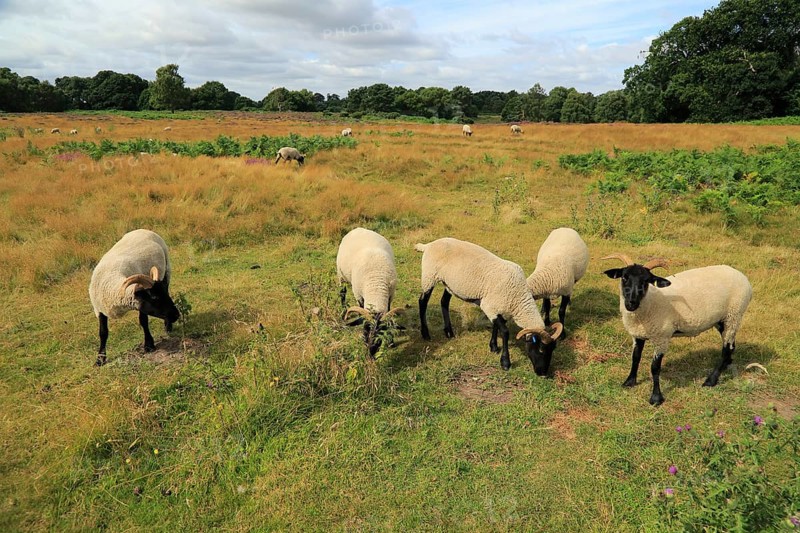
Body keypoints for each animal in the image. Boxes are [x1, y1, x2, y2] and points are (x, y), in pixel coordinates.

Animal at [89, 229, 180, 366]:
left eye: (163, 294)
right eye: (153, 296)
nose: (176, 315)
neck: (110, 281)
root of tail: (143, 229)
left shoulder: (140, 305)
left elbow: (143, 322)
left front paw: (149, 345)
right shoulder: (99, 310)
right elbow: (103, 333)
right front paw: (100, 359)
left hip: (167, 270)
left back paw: (168, 326)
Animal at [337, 228, 402, 357]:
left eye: (381, 332)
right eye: (366, 330)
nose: (371, 353)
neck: (375, 287)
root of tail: (358, 228)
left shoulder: (390, 296)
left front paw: (391, 341)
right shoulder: (359, 296)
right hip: (341, 276)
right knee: (342, 292)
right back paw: (343, 312)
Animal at [417, 237, 563, 374]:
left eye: (553, 349)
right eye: (541, 349)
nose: (542, 373)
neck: (518, 298)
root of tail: (429, 245)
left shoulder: (498, 307)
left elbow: (496, 327)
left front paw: (493, 347)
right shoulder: (489, 306)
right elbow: (505, 332)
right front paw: (505, 362)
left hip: (450, 284)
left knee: (444, 302)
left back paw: (449, 332)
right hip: (429, 276)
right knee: (422, 302)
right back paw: (425, 334)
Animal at [603, 254, 753, 405]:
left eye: (646, 281)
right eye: (624, 277)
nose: (631, 303)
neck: (650, 302)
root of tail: (741, 276)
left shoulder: (662, 338)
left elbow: (655, 368)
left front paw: (656, 397)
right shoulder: (637, 335)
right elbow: (635, 358)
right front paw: (629, 382)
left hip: (734, 315)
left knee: (726, 348)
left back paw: (711, 380)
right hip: (723, 320)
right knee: (731, 345)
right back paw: (727, 364)